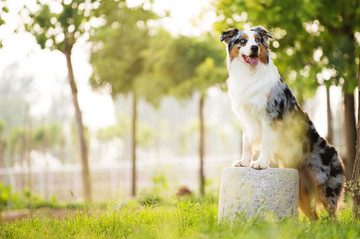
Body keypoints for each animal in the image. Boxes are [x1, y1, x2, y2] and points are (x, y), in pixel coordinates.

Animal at [221, 26, 344, 220]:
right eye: (242, 41)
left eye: (258, 40)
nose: (254, 48)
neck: (249, 74)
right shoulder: (246, 119)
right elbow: (246, 144)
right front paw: (243, 162)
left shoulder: (270, 116)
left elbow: (265, 143)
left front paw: (261, 163)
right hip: (301, 195)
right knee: (315, 219)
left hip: (326, 188)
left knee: (333, 219)